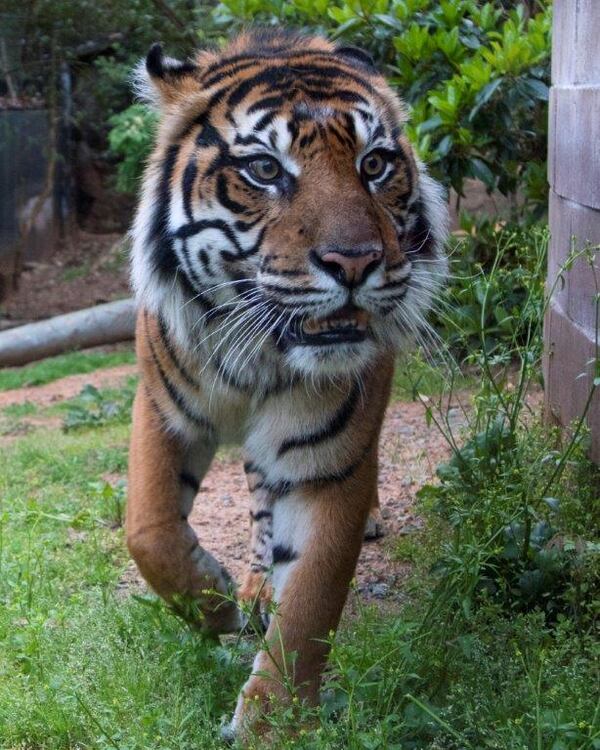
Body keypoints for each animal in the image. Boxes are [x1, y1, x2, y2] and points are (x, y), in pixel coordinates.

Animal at [125, 27, 446, 740]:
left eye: (375, 165)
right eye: (266, 171)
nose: (355, 262)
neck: (257, 349)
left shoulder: (327, 461)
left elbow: (308, 608)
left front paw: (271, 726)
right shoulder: (163, 408)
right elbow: (149, 531)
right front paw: (217, 605)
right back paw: (248, 582)